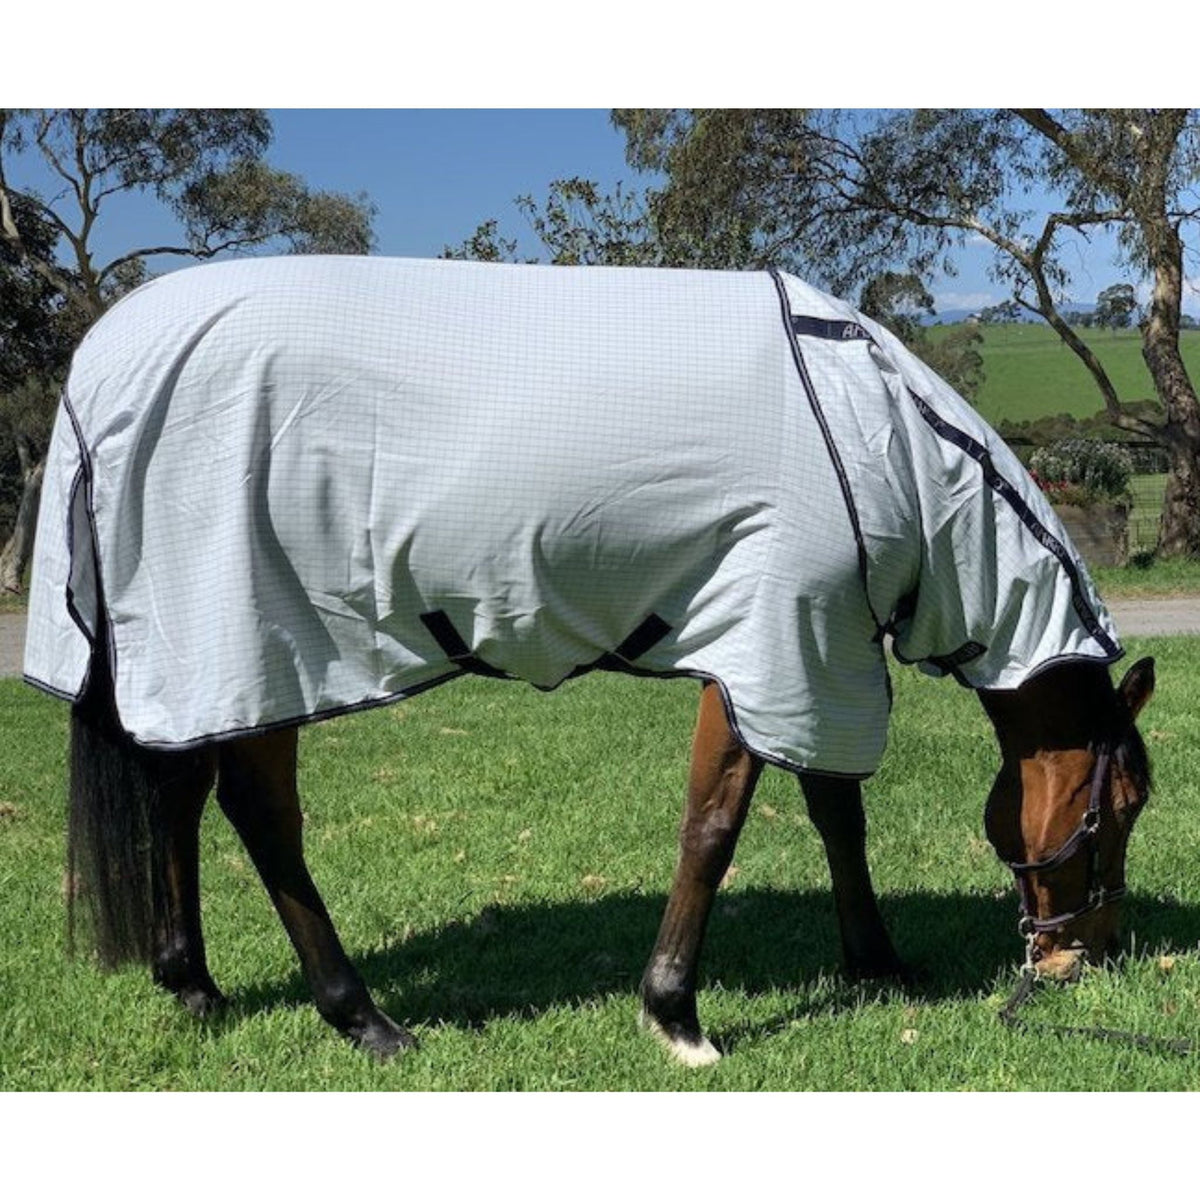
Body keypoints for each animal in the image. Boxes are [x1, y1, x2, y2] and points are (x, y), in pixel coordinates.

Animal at [26, 256, 1155, 1066]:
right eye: (1123, 804)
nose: (1084, 959)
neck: (871, 430)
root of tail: (101, 364)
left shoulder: (810, 653)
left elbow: (836, 812)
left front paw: (877, 962)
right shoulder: (774, 637)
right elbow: (715, 826)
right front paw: (676, 1013)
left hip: (191, 657)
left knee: (178, 795)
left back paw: (195, 986)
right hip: (258, 640)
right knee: (261, 819)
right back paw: (364, 1019)